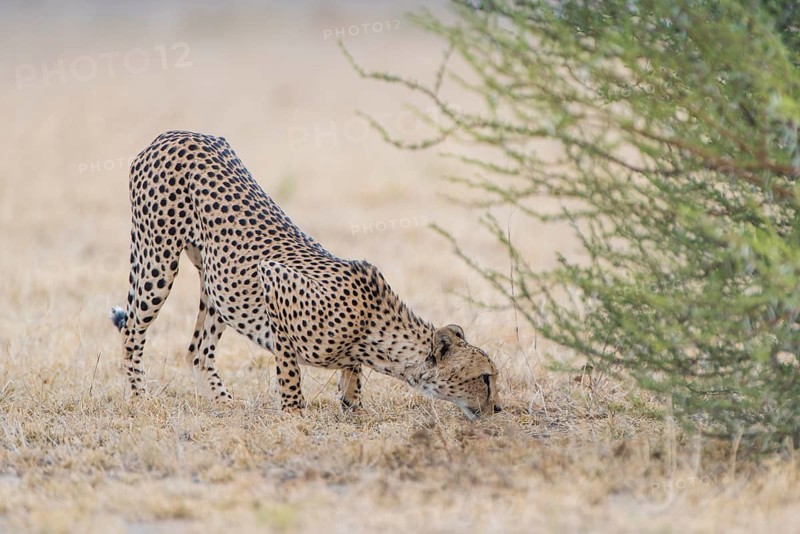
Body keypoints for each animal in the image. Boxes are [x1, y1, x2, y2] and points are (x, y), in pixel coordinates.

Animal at [111, 130, 502, 418]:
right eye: (484, 377)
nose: (498, 408)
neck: (375, 330)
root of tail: (174, 133)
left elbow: (352, 374)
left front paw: (351, 403)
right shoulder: (275, 282)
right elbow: (289, 367)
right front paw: (294, 412)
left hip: (214, 279)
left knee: (197, 348)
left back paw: (223, 401)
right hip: (157, 257)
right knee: (133, 329)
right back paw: (139, 396)